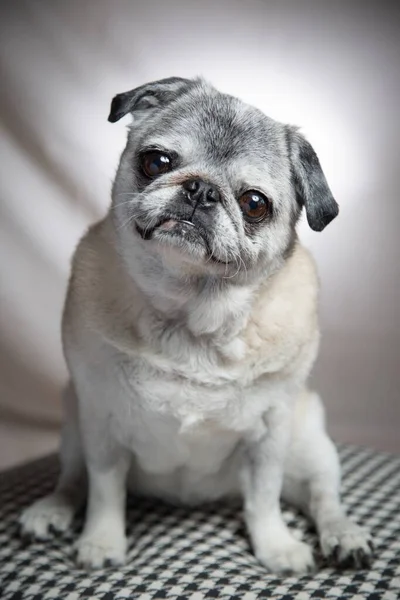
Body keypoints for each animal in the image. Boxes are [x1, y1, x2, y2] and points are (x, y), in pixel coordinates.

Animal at [21, 77, 372, 576]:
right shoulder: (100, 419)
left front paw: (276, 546)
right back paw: (51, 510)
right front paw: (102, 541)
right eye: (157, 162)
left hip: (310, 443)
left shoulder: (271, 433)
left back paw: (344, 536)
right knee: (74, 480)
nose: (201, 189)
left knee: (322, 497)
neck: (191, 315)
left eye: (254, 204)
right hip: (72, 421)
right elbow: (105, 490)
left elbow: (264, 497)